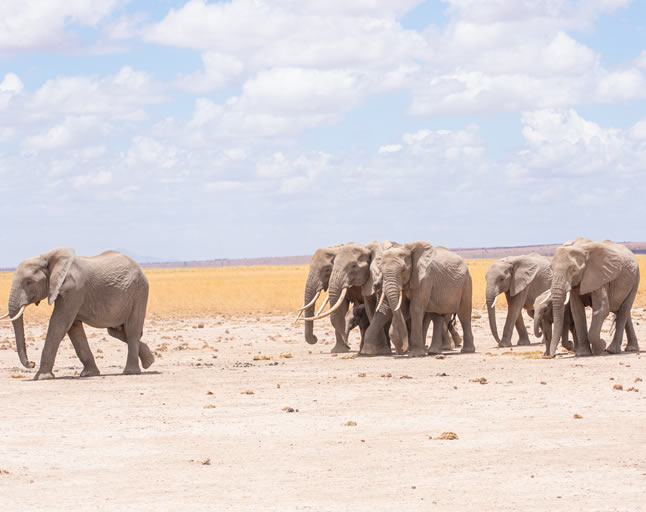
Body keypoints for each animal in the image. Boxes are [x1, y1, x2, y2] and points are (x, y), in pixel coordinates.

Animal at [6, 248, 155, 380]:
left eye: (29, 282)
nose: (31, 363)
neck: (46, 259)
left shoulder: (73, 290)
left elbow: (59, 324)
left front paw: (41, 377)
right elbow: (74, 328)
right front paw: (89, 374)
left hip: (139, 292)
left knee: (131, 330)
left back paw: (131, 372)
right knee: (116, 331)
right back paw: (149, 361)